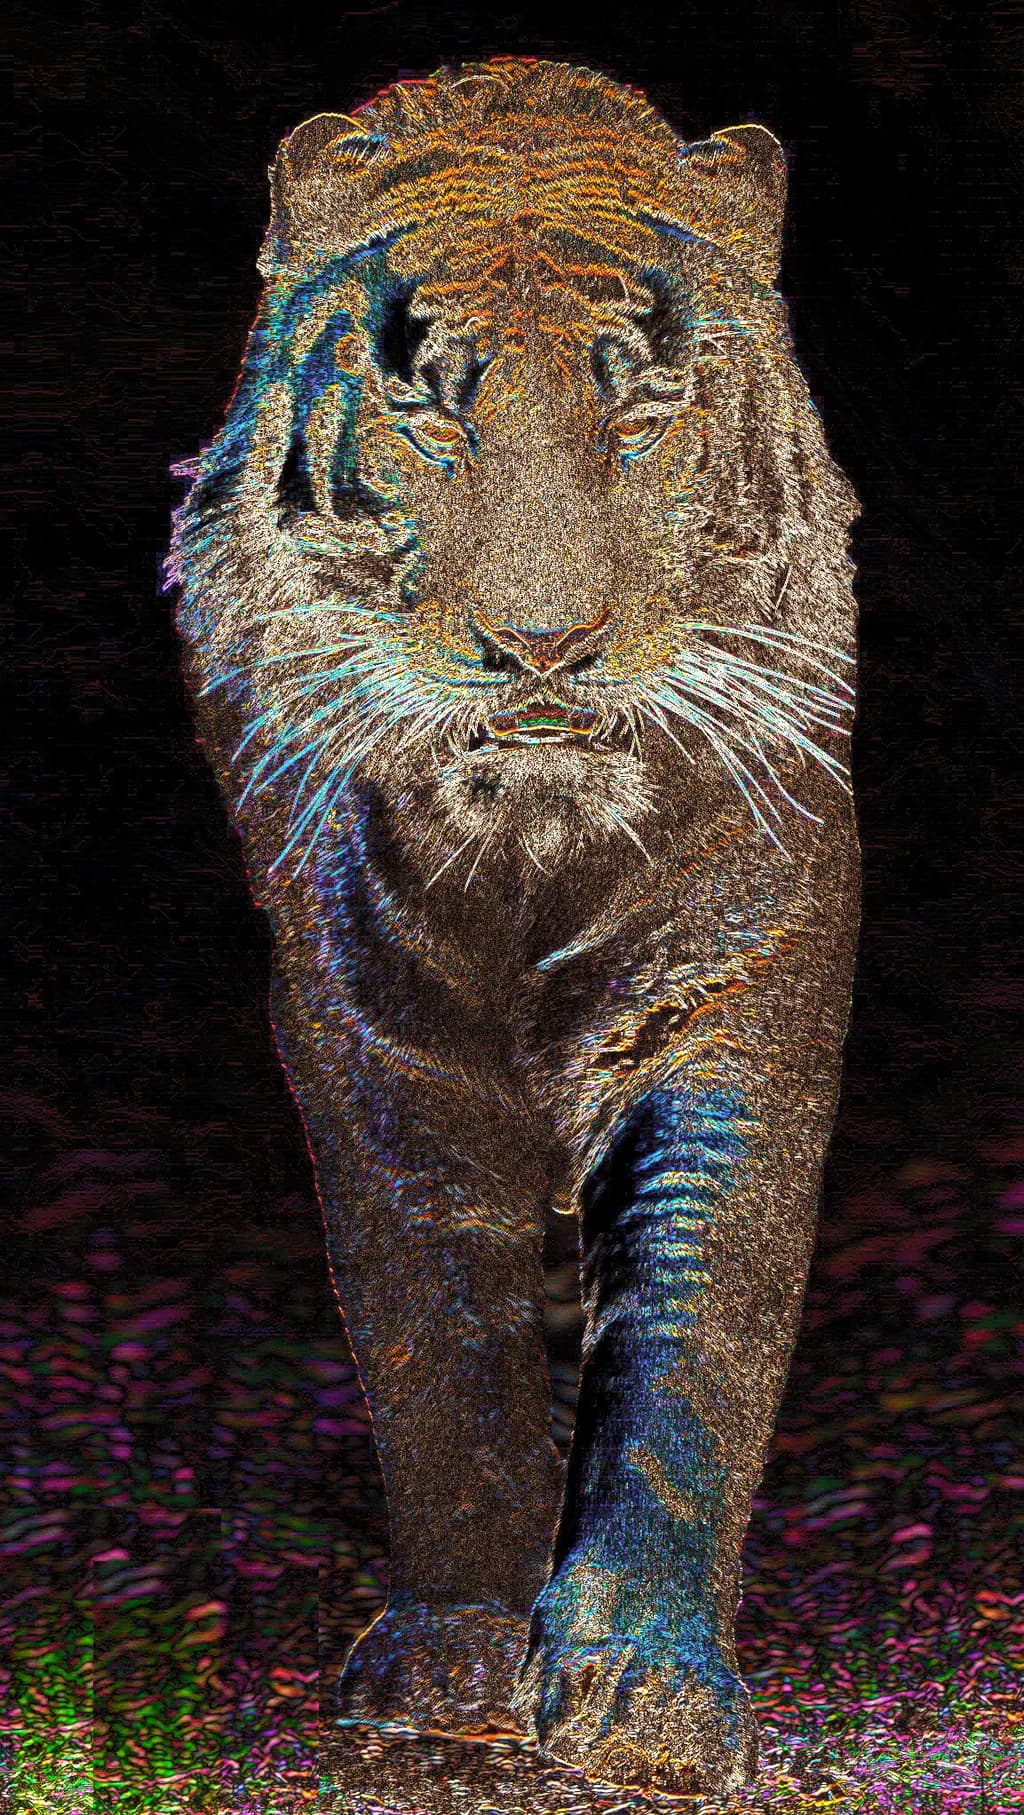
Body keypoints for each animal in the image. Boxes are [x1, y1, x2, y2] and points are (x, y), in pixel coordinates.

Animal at [167, 55, 860, 1798]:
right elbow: (438, 1328)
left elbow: (695, 1323)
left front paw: (645, 1686)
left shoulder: (735, 980)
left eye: (642, 415)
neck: (532, 849)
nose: (542, 647)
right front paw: (463, 1651)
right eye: (433, 416)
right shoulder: (367, 1011)